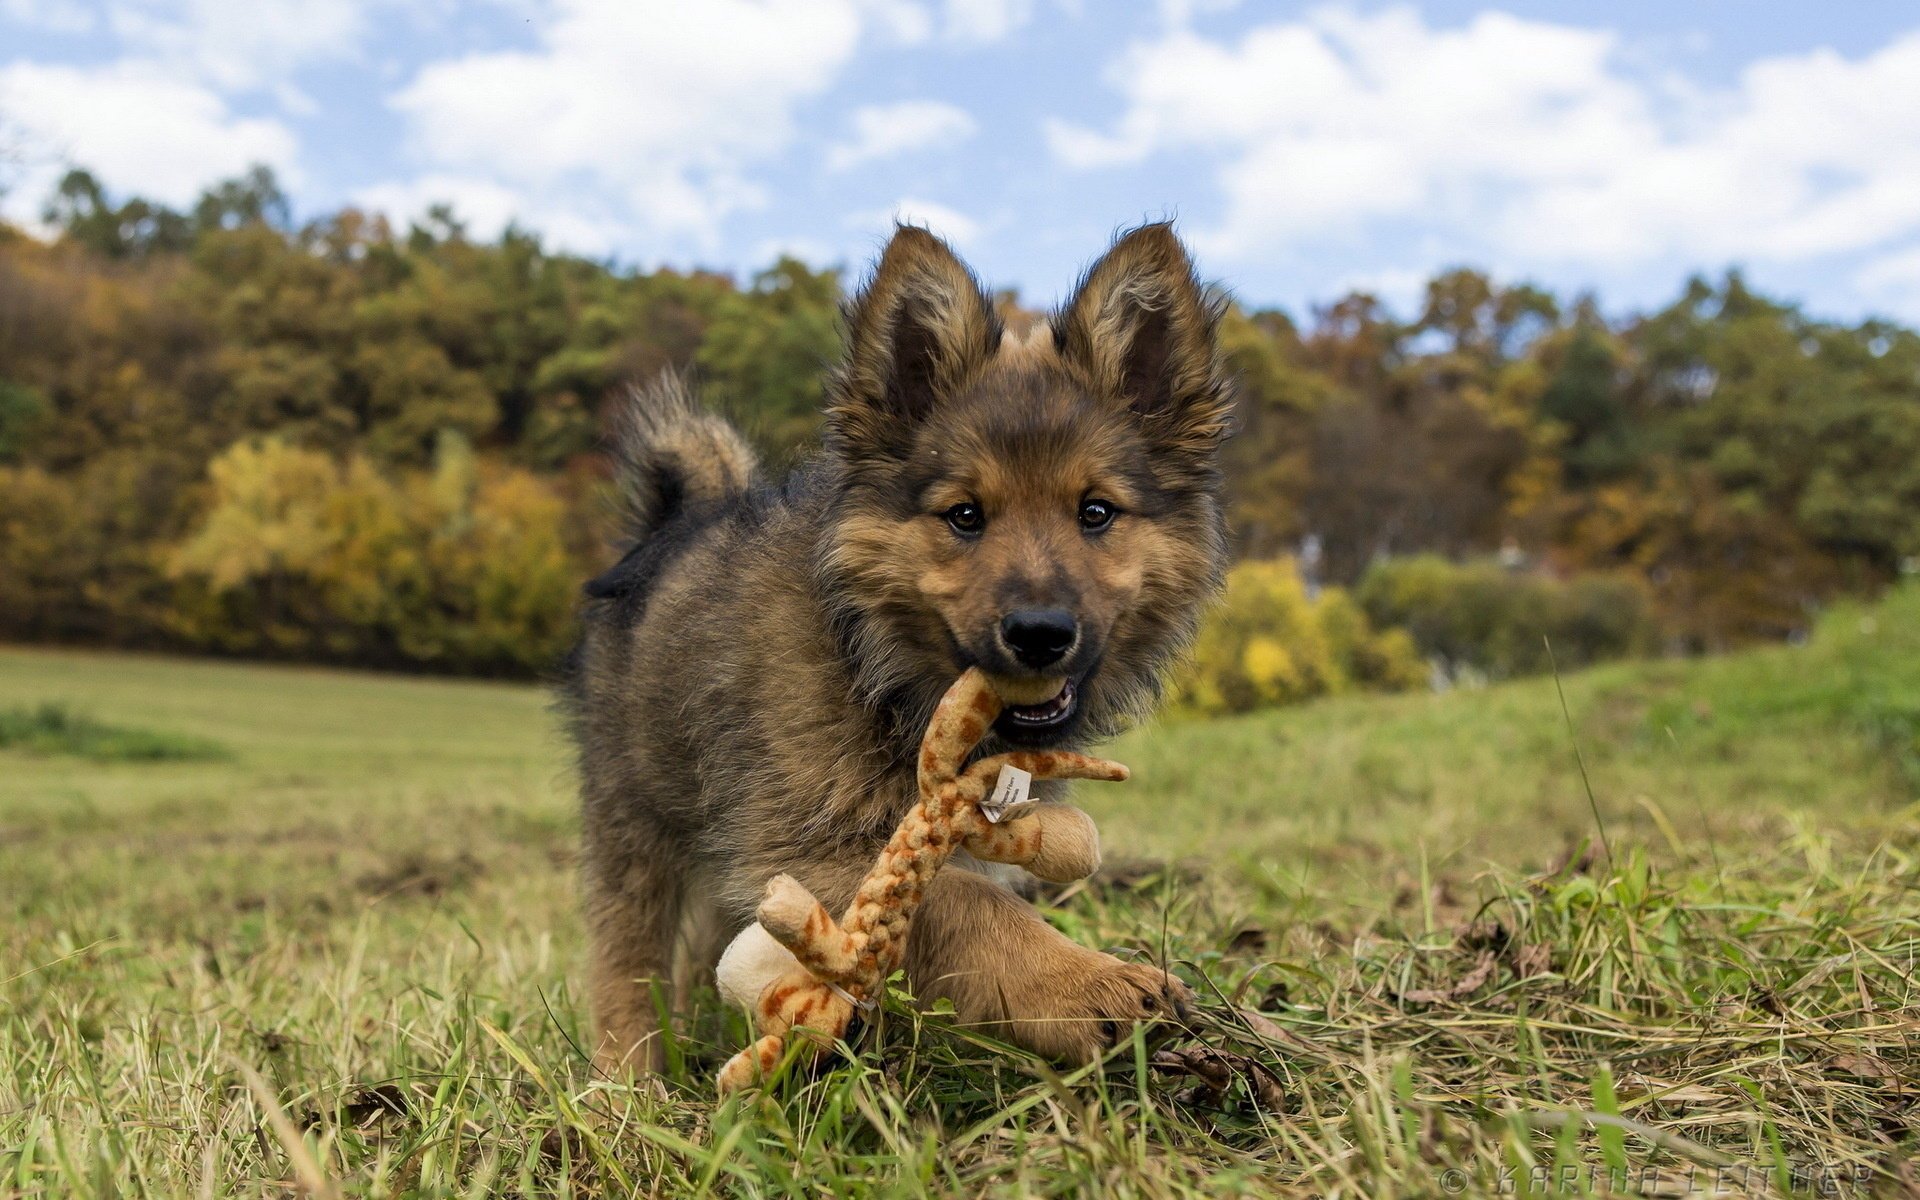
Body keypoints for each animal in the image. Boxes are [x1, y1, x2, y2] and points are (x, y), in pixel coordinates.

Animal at [560, 219, 1236, 1075]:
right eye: (965, 515)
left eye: (1096, 511)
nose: (1040, 633)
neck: (877, 663)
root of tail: (671, 522)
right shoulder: (806, 837)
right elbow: (966, 905)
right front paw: (1088, 985)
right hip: (633, 819)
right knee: (627, 960)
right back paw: (630, 1076)